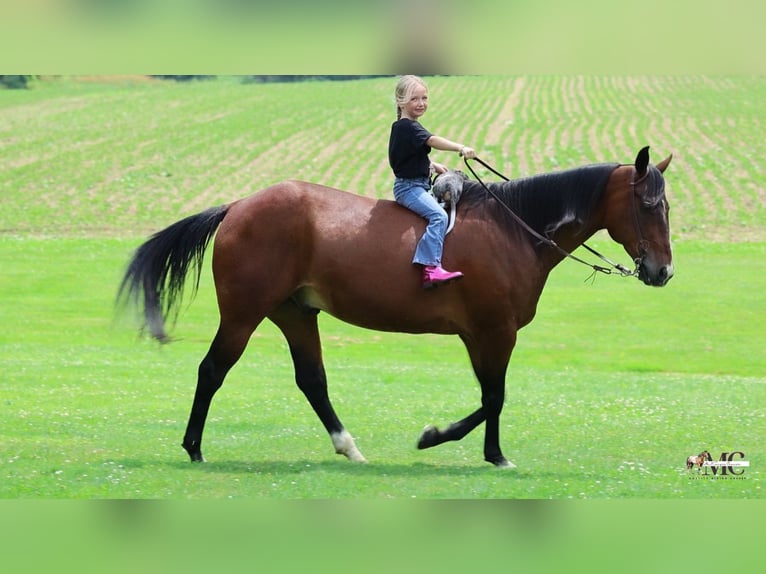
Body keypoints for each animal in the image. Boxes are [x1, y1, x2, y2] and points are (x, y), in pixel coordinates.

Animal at [118, 146, 674, 468]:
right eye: (649, 205)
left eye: (666, 205)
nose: (663, 271)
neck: (512, 229)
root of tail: (238, 206)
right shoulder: (493, 331)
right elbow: (494, 397)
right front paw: (461, 444)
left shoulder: (482, 335)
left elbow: (490, 396)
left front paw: (473, 446)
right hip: (243, 314)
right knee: (212, 370)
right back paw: (194, 447)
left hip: (294, 314)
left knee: (312, 381)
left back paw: (347, 445)